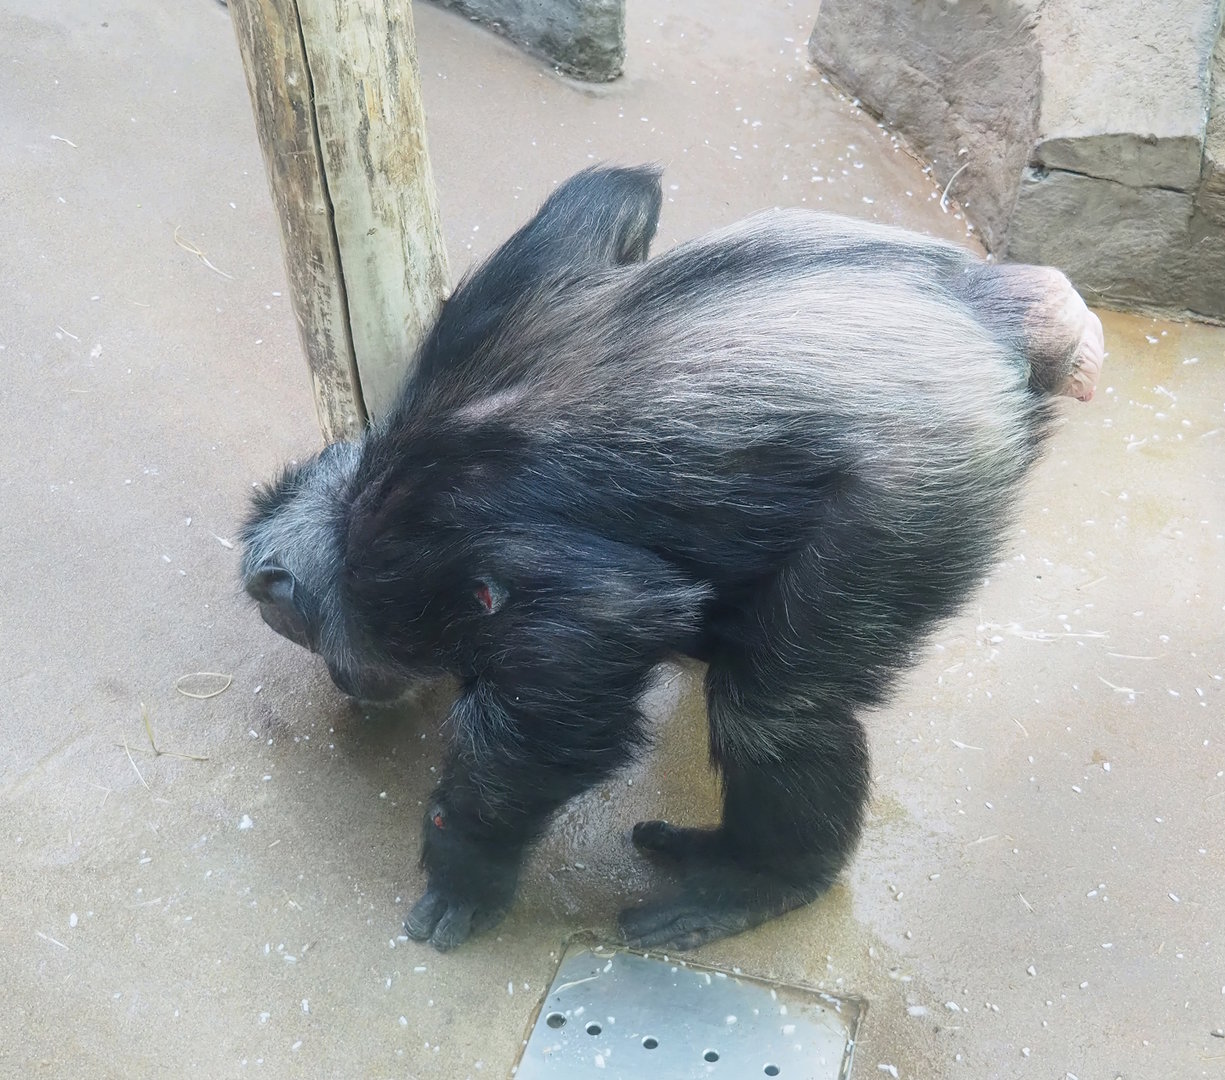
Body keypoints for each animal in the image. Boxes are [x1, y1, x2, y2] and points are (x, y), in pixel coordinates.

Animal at [240, 164, 1103, 952]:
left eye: (297, 631)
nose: (342, 678)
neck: (357, 504)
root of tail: (1005, 321)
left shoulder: (406, 559)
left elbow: (597, 623)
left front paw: (467, 862)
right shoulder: (494, 300)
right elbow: (604, 198)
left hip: (918, 498)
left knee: (778, 708)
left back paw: (757, 877)